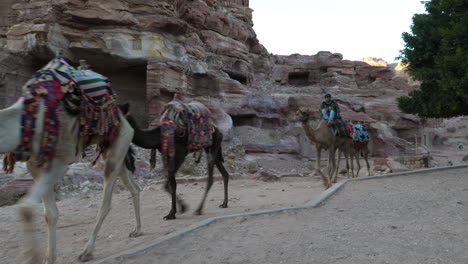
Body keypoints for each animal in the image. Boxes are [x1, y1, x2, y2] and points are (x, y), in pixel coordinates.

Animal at [0, 59, 143, 264]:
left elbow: (25, 207)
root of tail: (123, 112)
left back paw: (87, 252)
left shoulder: (59, 161)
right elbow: (49, 214)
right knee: (133, 185)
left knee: (105, 202)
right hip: (114, 148)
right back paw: (137, 230)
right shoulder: (35, 165)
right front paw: (48, 258)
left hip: (120, 140)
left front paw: (32, 256)